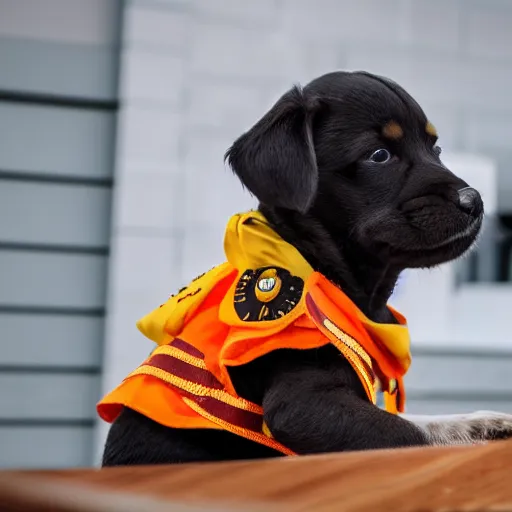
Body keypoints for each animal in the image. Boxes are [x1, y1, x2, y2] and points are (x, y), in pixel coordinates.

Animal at [102, 72, 512, 468]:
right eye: (379, 155)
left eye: (436, 149)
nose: (475, 201)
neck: (325, 268)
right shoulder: (302, 405)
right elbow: (409, 434)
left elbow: (424, 421)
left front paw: (484, 423)